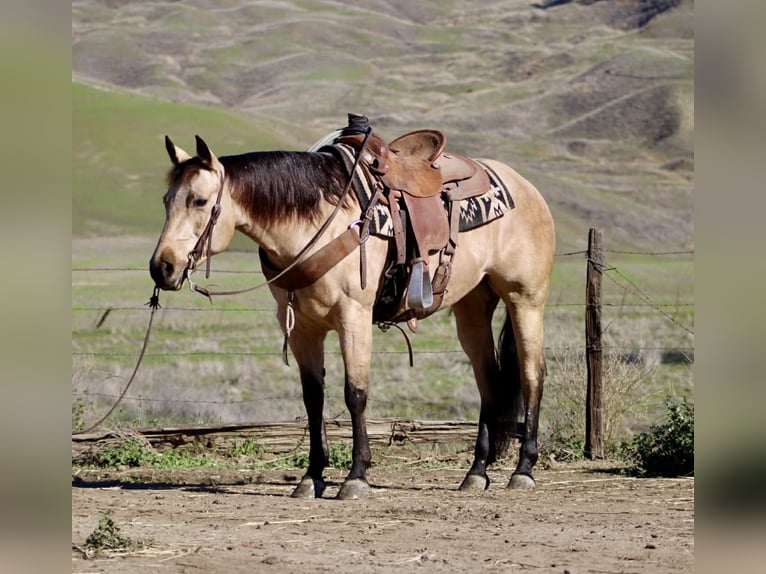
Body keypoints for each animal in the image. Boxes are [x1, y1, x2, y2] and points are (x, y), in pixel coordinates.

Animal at [149, 125, 555, 500]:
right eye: (167, 199)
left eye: (199, 201)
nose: (162, 267)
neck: (318, 223)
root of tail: (527, 189)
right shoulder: (301, 329)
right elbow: (313, 399)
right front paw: (311, 477)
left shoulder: (353, 316)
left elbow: (355, 393)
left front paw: (356, 476)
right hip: (471, 306)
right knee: (489, 380)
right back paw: (476, 472)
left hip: (525, 299)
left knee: (531, 375)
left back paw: (523, 469)